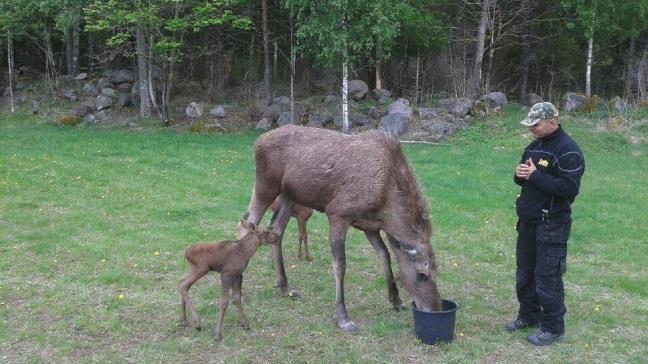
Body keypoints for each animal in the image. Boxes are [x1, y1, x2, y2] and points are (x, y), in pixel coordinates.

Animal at [240, 125, 442, 332]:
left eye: (437, 272)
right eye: (422, 275)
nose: (435, 309)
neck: (385, 207)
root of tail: (258, 141)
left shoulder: (370, 226)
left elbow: (385, 255)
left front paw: (396, 300)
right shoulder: (338, 214)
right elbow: (340, 265)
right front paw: (343, 317)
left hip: (290, 195)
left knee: (275, 229)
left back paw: (284, 286)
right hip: (265, 185)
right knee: (246, 224)